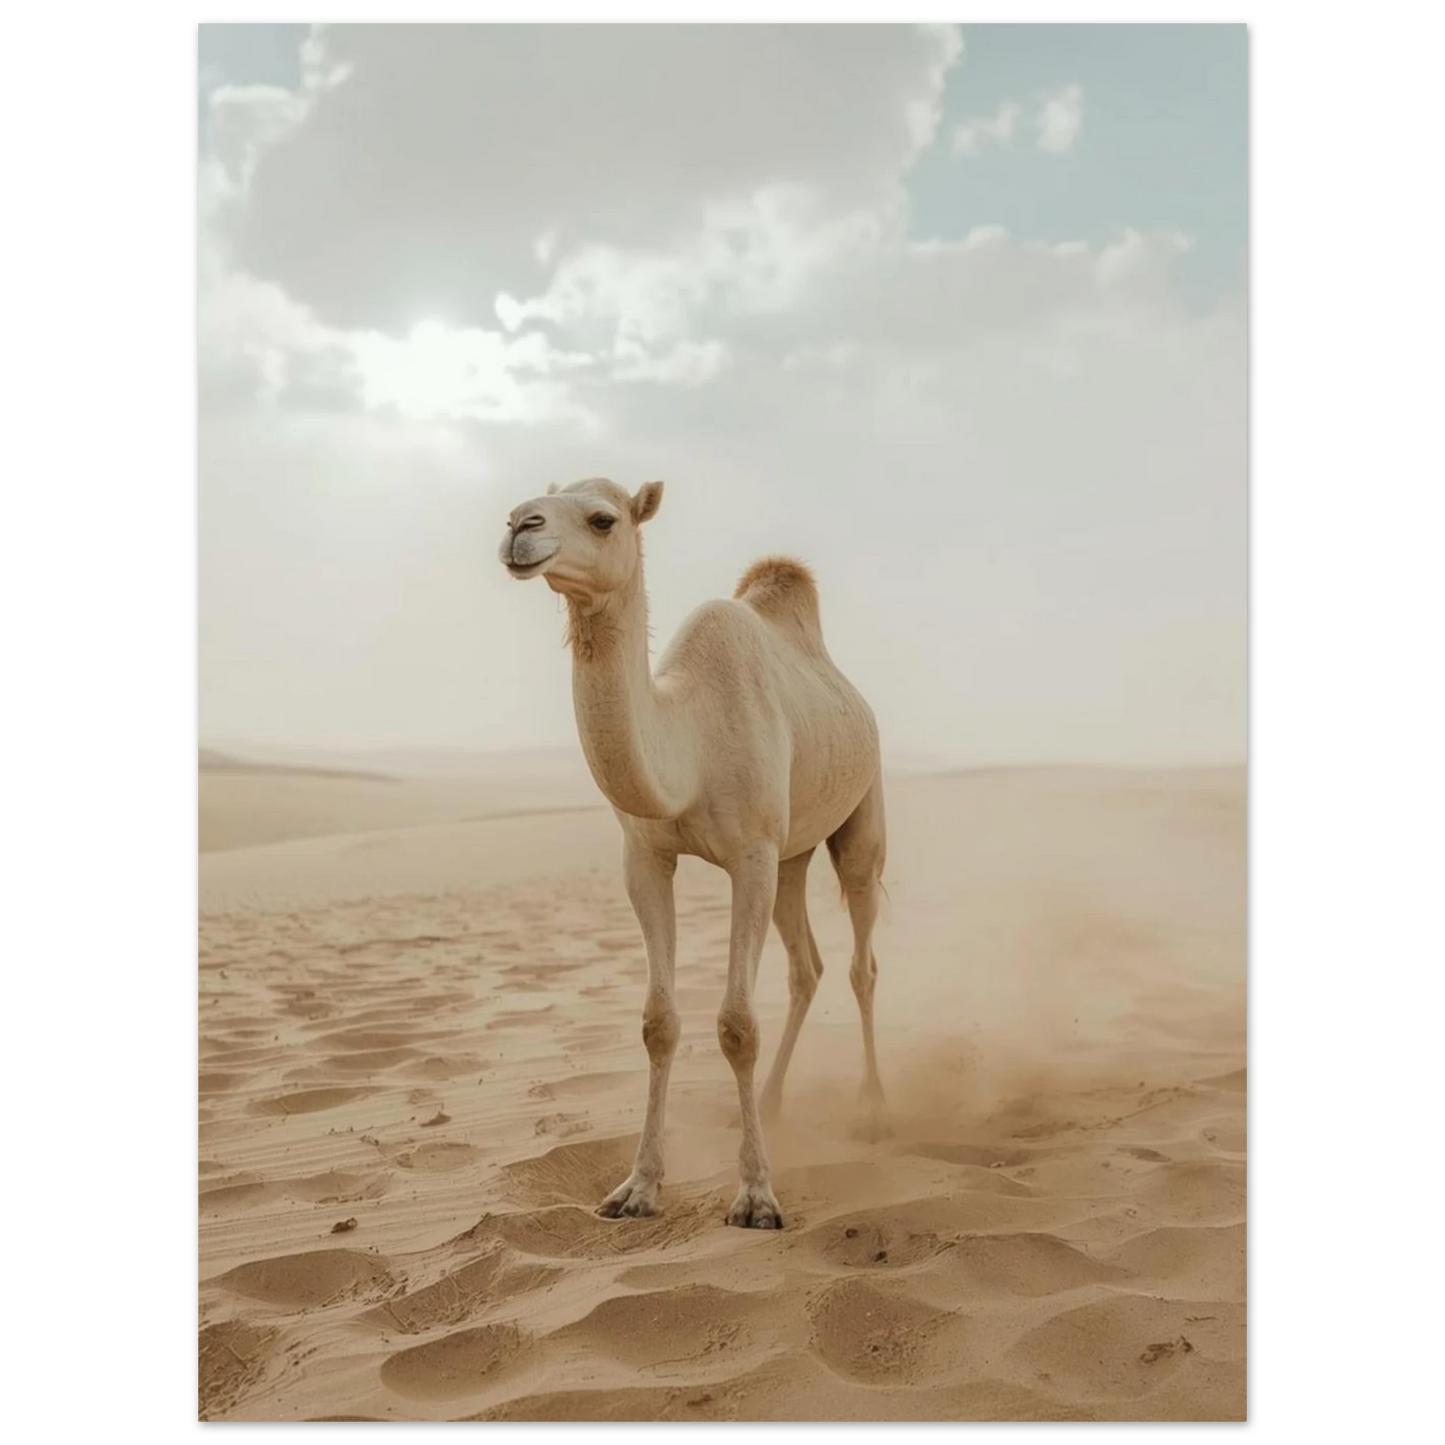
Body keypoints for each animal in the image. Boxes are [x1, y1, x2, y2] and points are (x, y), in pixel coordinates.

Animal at [497, 477, 888, 1229]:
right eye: (531, 501)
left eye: (603, 518)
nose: (517, 528)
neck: (691, 743)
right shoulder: (646, 858)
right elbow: (659, 1022)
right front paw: (637, 1187)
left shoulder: (751, 856)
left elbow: (736, 1024)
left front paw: (757, 1196)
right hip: (792, 855)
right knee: (807, 966)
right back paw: (770, 1101)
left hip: (861, 816)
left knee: (861, 961)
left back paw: (873, 1104)